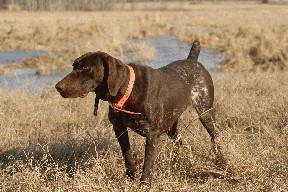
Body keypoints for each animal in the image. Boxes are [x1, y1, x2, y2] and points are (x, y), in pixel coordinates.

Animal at [55, 40, 222, 188]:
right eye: (73, 66)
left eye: (86, 68)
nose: (58, 87)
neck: (127, 90)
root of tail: (192, 60)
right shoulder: (119, 129)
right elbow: (128, 156)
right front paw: (130, 177)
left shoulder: (152, 135)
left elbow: (147, 164)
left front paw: (144, 184)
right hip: (171, 125)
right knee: (179, 142)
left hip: (205, 113)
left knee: (215, 138)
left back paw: (221, 161)